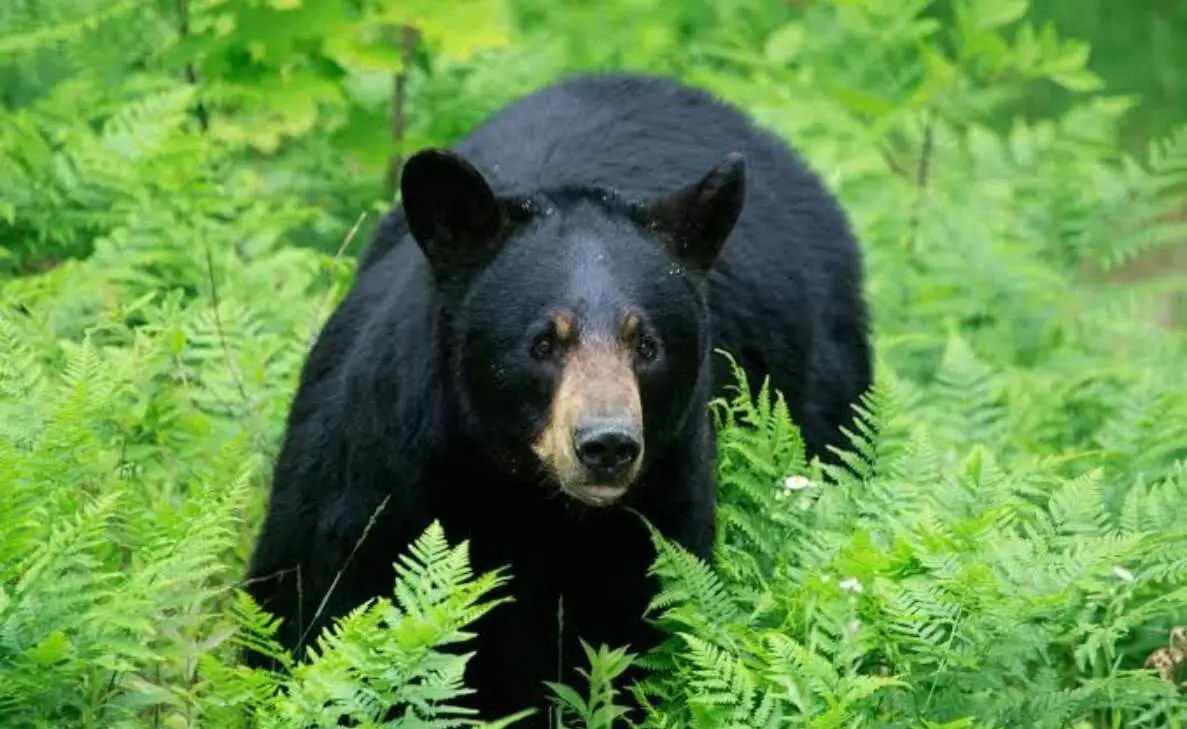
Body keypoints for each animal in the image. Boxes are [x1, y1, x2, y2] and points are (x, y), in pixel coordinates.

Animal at [243, 71, 871, 726]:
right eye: (543, 342)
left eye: (646, 343)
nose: (607, 445)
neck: (526, 503)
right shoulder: (371, 489)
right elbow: (311, 611)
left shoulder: (658, 524)